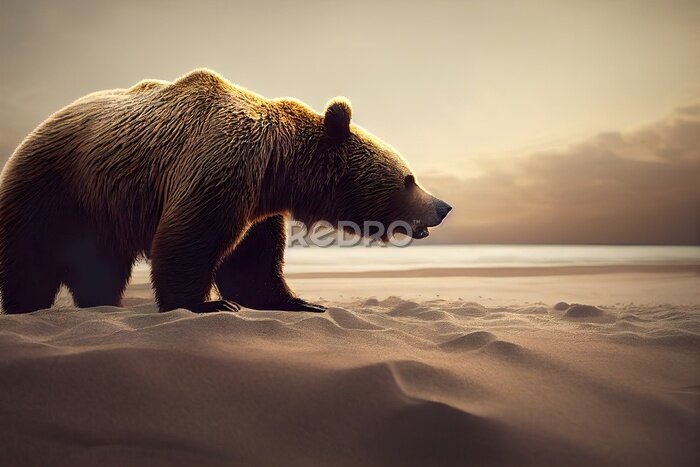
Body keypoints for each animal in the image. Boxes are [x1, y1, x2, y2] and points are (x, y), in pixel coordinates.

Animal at [0, 69, 452, 316]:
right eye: (409, 178)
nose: (443, 207)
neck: (278, 165)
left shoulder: (258, 203)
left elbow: (251, 261)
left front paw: (299, 301)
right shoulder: (223, 165)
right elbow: (191, 239)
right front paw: (207, 303)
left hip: (103, 210)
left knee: (98, 266)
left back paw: (103, 304)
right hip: (57, 189)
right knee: (31, 261)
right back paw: (27, 307)